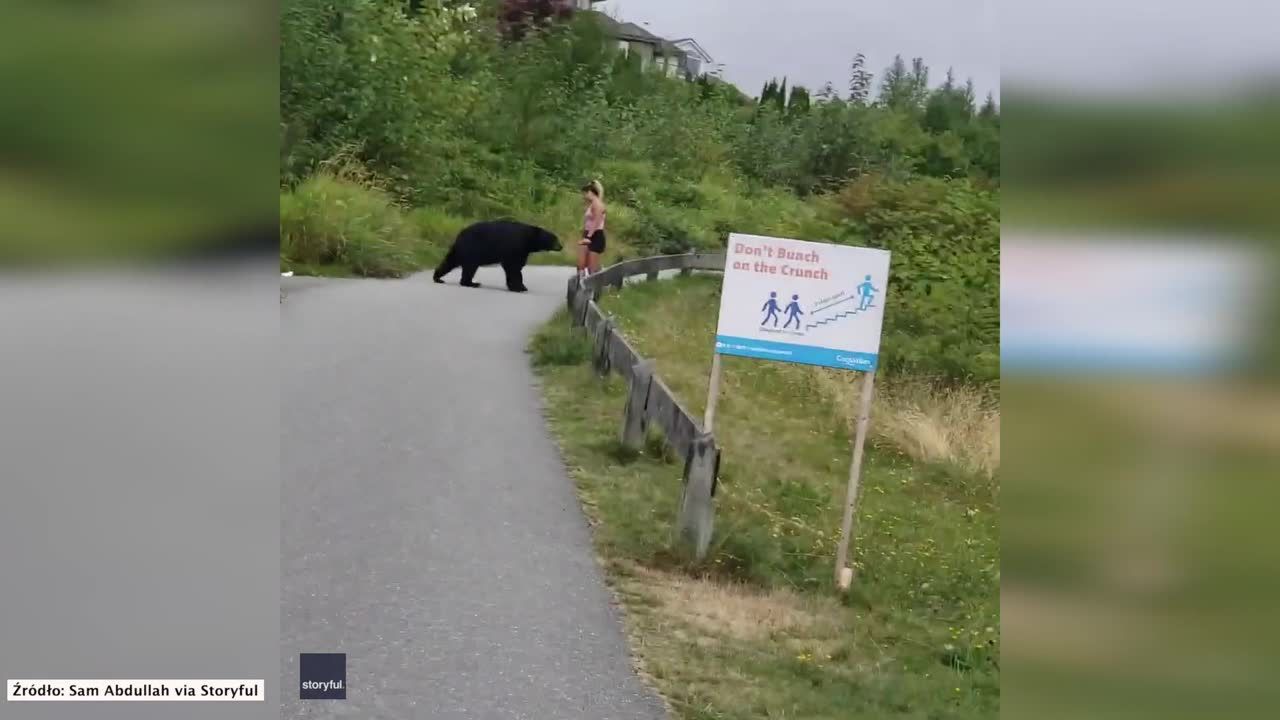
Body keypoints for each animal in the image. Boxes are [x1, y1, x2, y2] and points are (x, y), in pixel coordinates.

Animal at [430, 219, 560, 292]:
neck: (529, 239)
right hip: (472, 249)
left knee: (449, 261)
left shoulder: (523, 251)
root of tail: (460, 234)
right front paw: (519, 287)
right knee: (470, 267)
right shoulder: (515, 247)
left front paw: (519, 286)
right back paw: (472, 283)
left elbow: (516, 267)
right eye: (555, 239)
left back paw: (438, 278)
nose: (561, 246)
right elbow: (513, 267)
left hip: (460, 250)